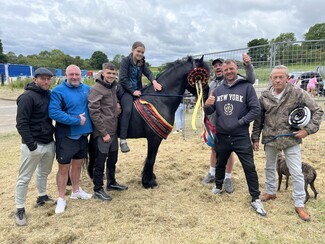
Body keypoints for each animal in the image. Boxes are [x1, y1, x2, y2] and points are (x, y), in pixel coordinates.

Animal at [86, 55, 208, 189]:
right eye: (203, 77)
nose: (207, 95)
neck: (160, 99)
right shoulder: (154, 138)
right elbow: (151, 159)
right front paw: (148, 182)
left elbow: (151, 158)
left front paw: (150, 179)